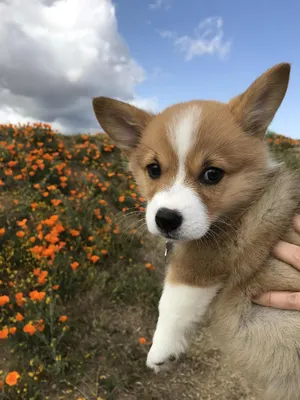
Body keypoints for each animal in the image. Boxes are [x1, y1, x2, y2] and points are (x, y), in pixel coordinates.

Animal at [93, 63, 300, 400]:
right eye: (153, 169)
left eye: (212, 174)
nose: (166, 219)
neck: (246, 201)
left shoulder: (208, 255)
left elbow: (171, 300)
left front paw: (160, 350)